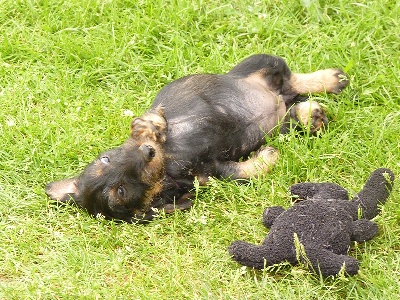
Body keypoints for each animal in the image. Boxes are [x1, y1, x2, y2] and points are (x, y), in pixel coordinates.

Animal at [46, 54, 346, 223]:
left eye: (106, 158)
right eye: (120, 192)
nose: (147, 152)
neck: (169, 161)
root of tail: (280, 99)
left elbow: (147, 120)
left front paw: (150, 127)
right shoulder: (212, 171)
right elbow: (245, 173)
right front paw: (267, 156)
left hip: (256, 64)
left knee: (290, 76)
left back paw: (331, 80)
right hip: (280, 124)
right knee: (293, 103)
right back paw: (311, 114)